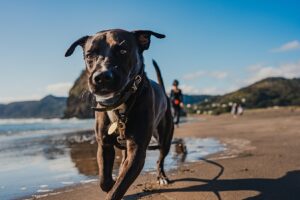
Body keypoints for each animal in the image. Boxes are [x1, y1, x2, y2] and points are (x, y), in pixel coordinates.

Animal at [65, 28, 173, 199]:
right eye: (89, 55)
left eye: (123, 51)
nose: (102, 77)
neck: (118, 104)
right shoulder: (104, 145)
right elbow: (104, 179)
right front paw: (111, 183)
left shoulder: (137, 151)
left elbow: (119, 187)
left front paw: (114, 188)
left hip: (165, 137)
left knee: (160, 159)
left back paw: (161, 176)